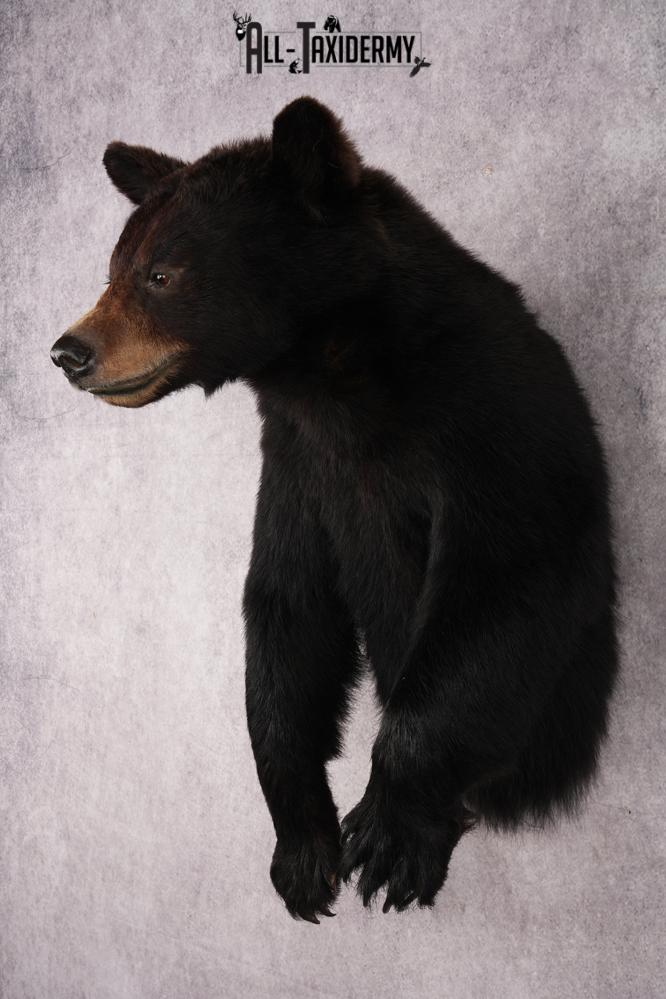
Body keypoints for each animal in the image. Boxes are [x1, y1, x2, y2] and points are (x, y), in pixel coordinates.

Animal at [50, 97, 619, 923]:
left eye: (162, 272)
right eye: (114, 269)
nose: (69, 351)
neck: (340, 381)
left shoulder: (488, 425)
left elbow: (501, 590)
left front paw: (391, 834)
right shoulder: (299, 466)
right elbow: (288, 608)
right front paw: (304, 848)